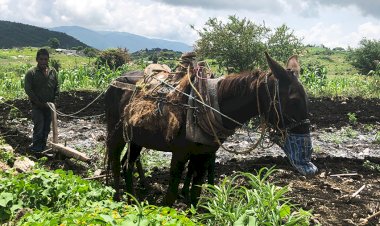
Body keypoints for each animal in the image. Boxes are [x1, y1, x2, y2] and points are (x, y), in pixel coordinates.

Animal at [104, 53, 318, 207]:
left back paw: (132, 198)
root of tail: (114, 81)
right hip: (116, 135)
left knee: (127, 165)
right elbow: (171, 194)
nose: (307, 153)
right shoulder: (180, 153)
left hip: (136, 139)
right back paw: (118, 199)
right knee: (115, 163)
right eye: (293, 100)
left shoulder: (204, 154)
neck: (208, 106)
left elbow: (196, 191)